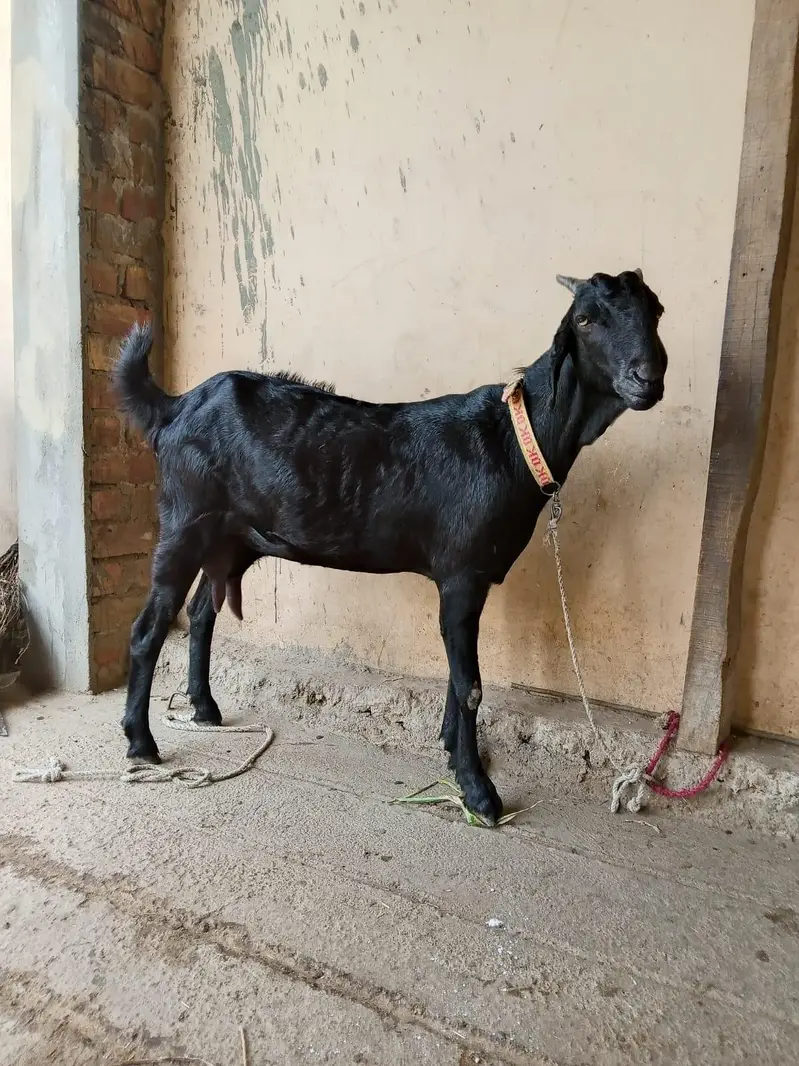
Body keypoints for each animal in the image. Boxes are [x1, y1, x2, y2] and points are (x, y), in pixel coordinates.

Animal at [114, 269, 667, 824]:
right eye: (585, 319)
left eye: (657, 310)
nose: (649, 378)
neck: (513, 438)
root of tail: (176, 407)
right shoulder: (462, 571)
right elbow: (470, 686)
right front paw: (479, 792)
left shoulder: (466, 579)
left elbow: (457, 675)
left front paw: (451, 751)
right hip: (185, 521)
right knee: (148, 627)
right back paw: (141, 742)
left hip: (233, 536)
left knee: (200, 612)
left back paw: (205, 708)